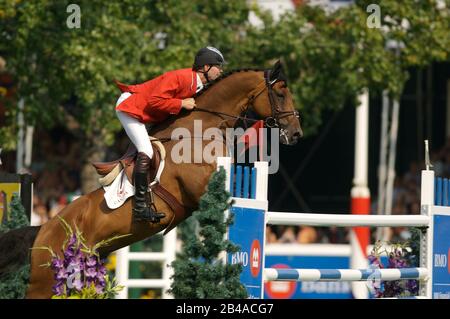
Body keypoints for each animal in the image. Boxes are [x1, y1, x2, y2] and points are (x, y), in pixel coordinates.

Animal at [0, 60, 304, 300]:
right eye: (280, 93)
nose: (296, 134)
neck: (201, 129)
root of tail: (42, 230)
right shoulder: (200, 188)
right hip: (44, 283)